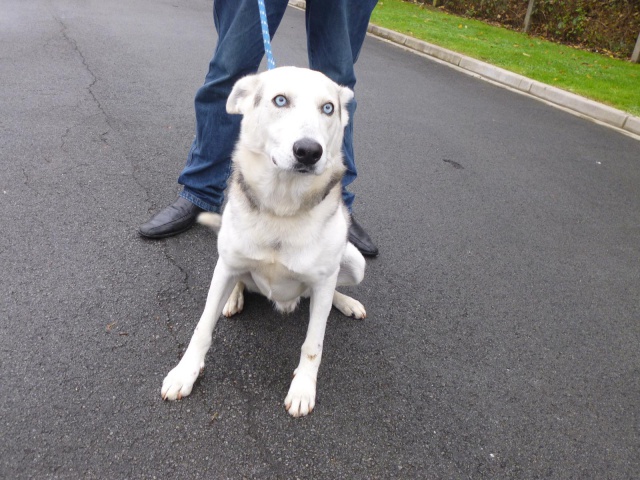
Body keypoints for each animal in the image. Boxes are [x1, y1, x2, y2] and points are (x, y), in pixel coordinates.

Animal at [160, 67, 364, 416]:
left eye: (328, 108)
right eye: (280, 100)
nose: (309, 151)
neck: (282, 209)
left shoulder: (324, 279)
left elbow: (313, 343)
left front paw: (303, 388)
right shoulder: (226, 265)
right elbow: (202, 328)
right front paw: (185, 373)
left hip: (355, 263)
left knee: (328, 290)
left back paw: (345, 302)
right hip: (228, 265)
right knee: (239, 280)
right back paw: (234, 298)